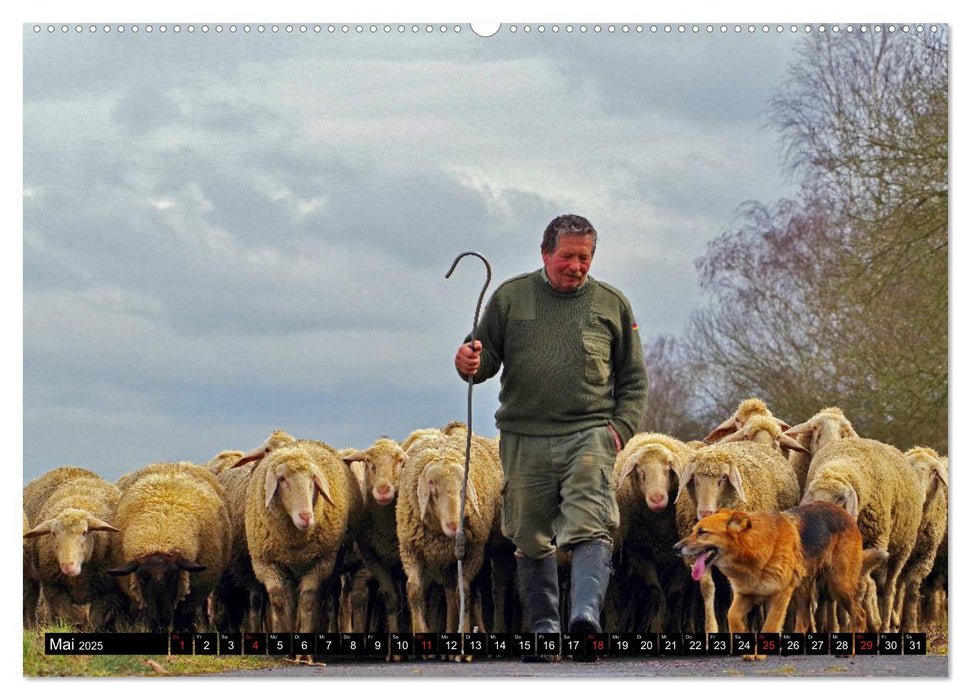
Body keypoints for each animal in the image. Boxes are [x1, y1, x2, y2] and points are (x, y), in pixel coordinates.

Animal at [107, 462, 234, 632]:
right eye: (143, 578)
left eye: (173, 576)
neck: (160, 534)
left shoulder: (193, 595)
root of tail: (175, 464)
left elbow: (183, 620)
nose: (161, 619)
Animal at [676, 504, 880, 656]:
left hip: (838, 585)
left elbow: (769, 626)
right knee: (804, 620)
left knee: (860, 614)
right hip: (802, 591)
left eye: (702, 532)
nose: (675, 548)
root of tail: (845, 513)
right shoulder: (746, 595)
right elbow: (732, 615)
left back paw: (850, 650)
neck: (754, 551)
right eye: (693, 531)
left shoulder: (780, 596)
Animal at [800, 440, 924, 632]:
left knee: (888, 588)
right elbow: (827, 591)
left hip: (902, 548)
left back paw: (884, 625)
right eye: (811, 497)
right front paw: (832, 626)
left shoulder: (875, 541)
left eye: (842, 498)